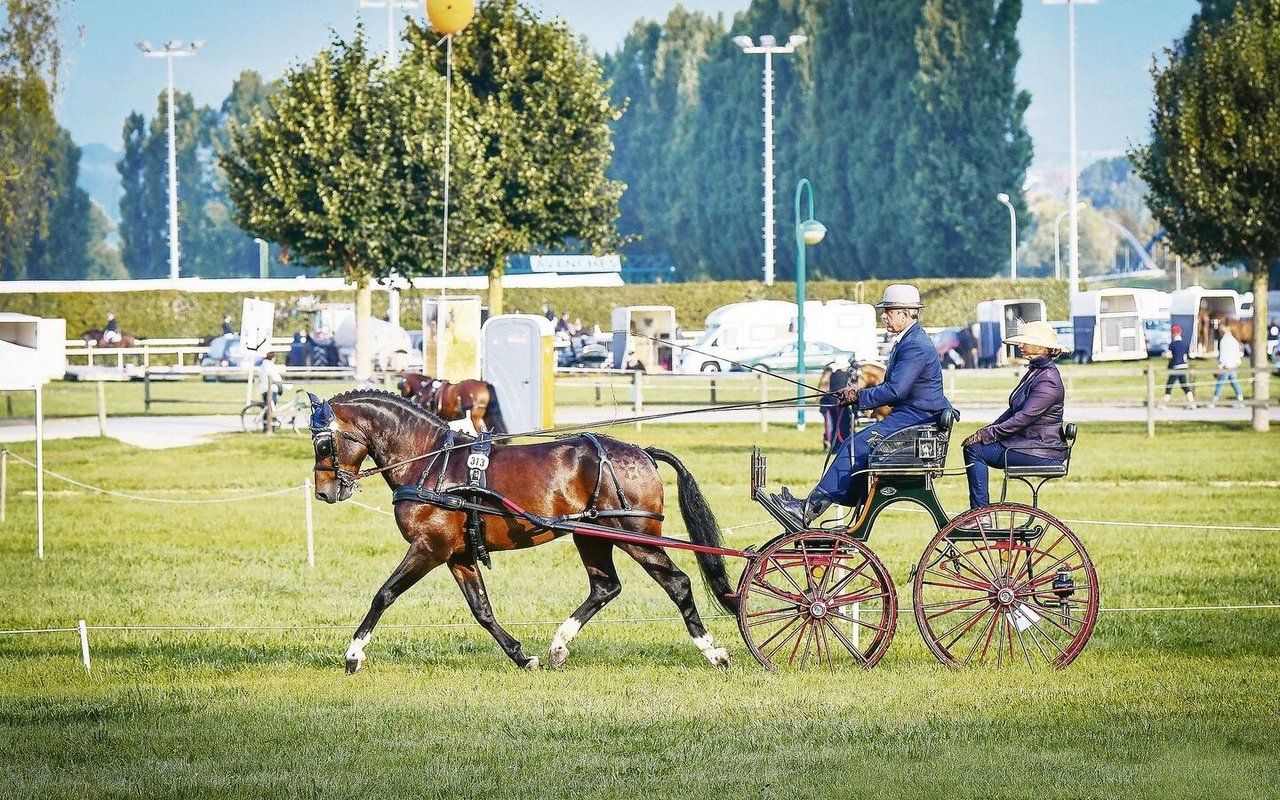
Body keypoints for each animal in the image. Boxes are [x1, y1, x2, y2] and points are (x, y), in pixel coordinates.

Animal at [303, 389, 737, 670]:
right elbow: (482, 610)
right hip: (592, 536)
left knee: (677, 583)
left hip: (636, 537)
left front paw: (353, 654)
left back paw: (712, 651)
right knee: (605, 587)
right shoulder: (458, 555)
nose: (324, 491)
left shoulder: (429, 548)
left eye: (323, 444)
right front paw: (520, 655)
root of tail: (641, 452)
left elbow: (384, 595)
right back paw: (559, 647)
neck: (430, 462)